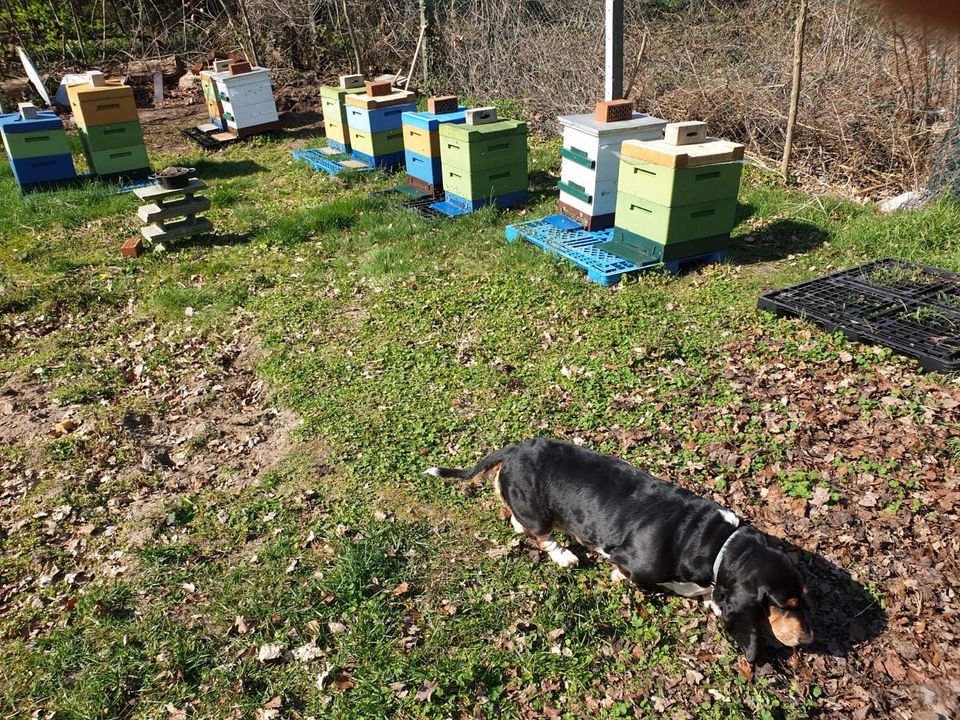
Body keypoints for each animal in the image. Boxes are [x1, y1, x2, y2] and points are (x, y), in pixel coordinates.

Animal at [428, 436, 808, 660]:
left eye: (803, 598)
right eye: (782, 606)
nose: (808, 641)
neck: (717, 544)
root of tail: (514, 449)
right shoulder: (631, 563)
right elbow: (654, 580)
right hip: (539, 513)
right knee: (540, 533)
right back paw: (563, 554)